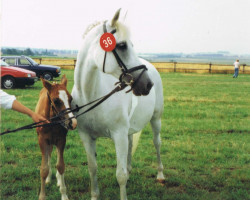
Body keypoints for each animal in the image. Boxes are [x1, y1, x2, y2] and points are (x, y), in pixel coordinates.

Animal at [71, 9, 165, 200]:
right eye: (121, 45)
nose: (147, 84)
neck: (90, 94)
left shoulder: (118, 134)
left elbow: (119, 175)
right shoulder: (86, 136)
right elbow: (93, 169)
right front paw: (95, 195)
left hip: (156, 119)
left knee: (157, 143)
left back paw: (160, 175)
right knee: (130, 147)